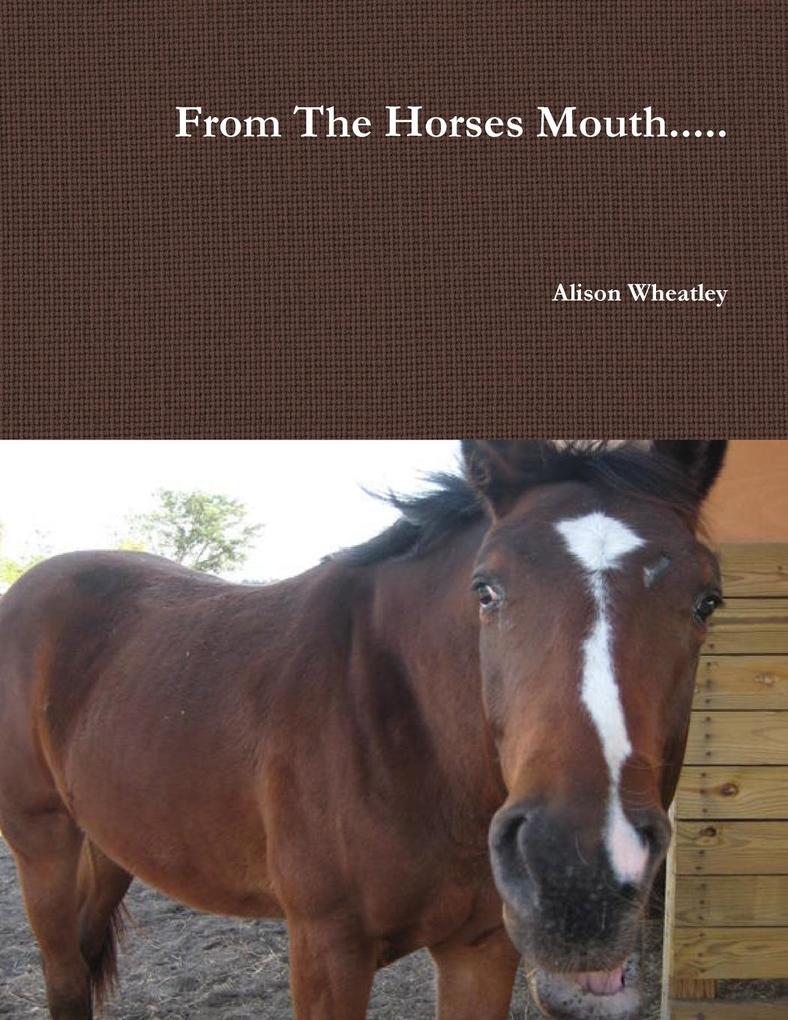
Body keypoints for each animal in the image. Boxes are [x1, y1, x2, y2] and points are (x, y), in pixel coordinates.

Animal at [0, 439, 727, 1020]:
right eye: (486, 590)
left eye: (706, 601)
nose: (578, 876)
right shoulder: (327, 952)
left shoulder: (481, 948)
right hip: (42, 844)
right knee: (65, 977)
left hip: (109, 845)